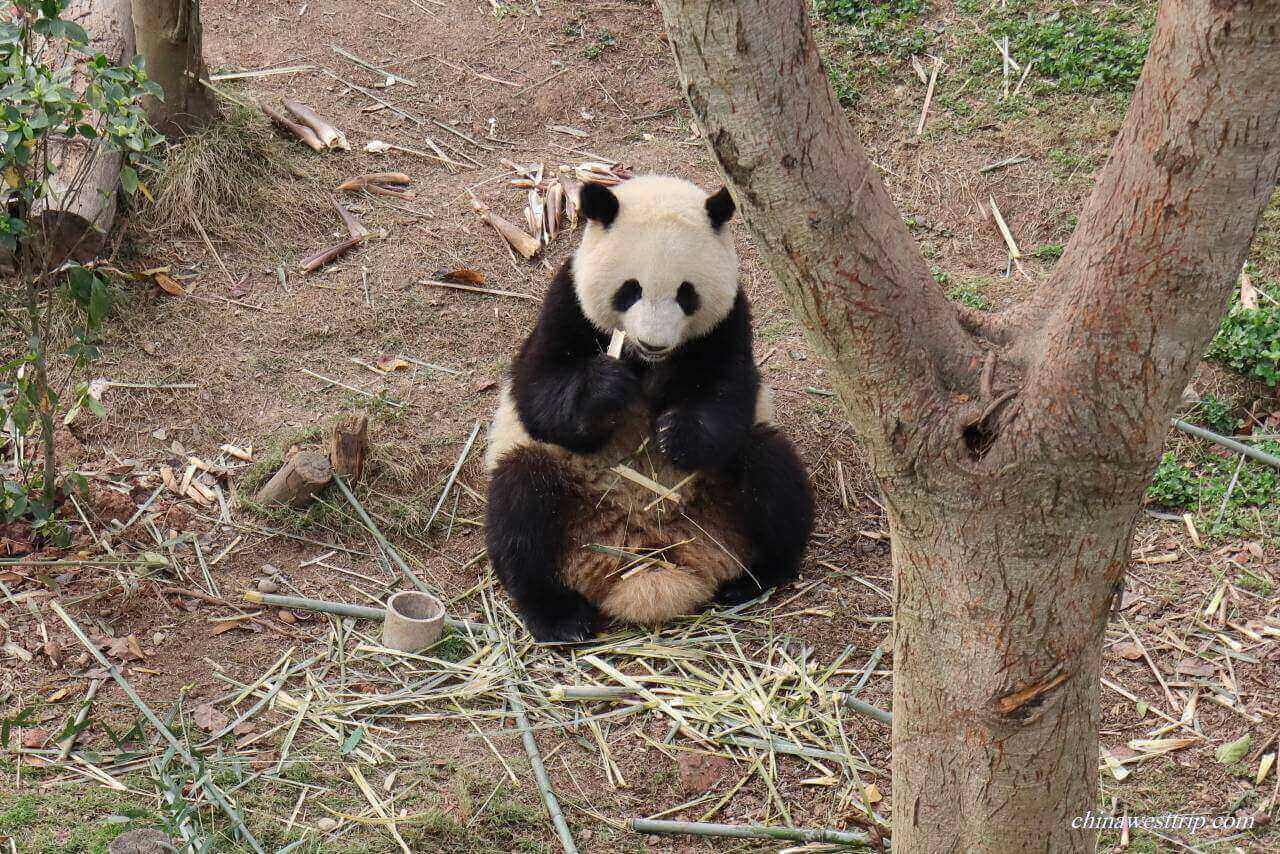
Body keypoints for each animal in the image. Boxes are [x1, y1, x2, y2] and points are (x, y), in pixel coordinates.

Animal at [483, 174, 814, 642]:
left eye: (686, 294)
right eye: (631, 289)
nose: (653, 342)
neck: (647, 363)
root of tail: (645, 558)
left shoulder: (729, 320)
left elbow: (731, 393)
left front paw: (677, 434)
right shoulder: (567, 302)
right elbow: (538, 391)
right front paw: (607, 387)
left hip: (720, 498)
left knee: (770, 467)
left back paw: (752, 578)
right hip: (567, 494)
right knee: (520, 501)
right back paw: (560, 616)